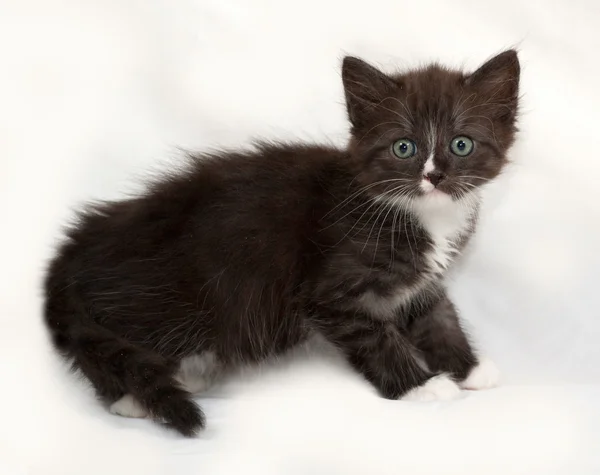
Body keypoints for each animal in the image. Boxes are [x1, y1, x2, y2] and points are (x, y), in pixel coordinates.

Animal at [43, 50, 520, 436]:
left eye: (462, 144)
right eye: (404, 147)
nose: (434, 176)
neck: (421, 215)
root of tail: (80, 243)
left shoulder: (422, 280)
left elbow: (438, 317)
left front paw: (469, 368)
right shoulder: (332, 293)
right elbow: (378, 339)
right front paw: (421, 387)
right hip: (164, 298)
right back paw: (135, 396)